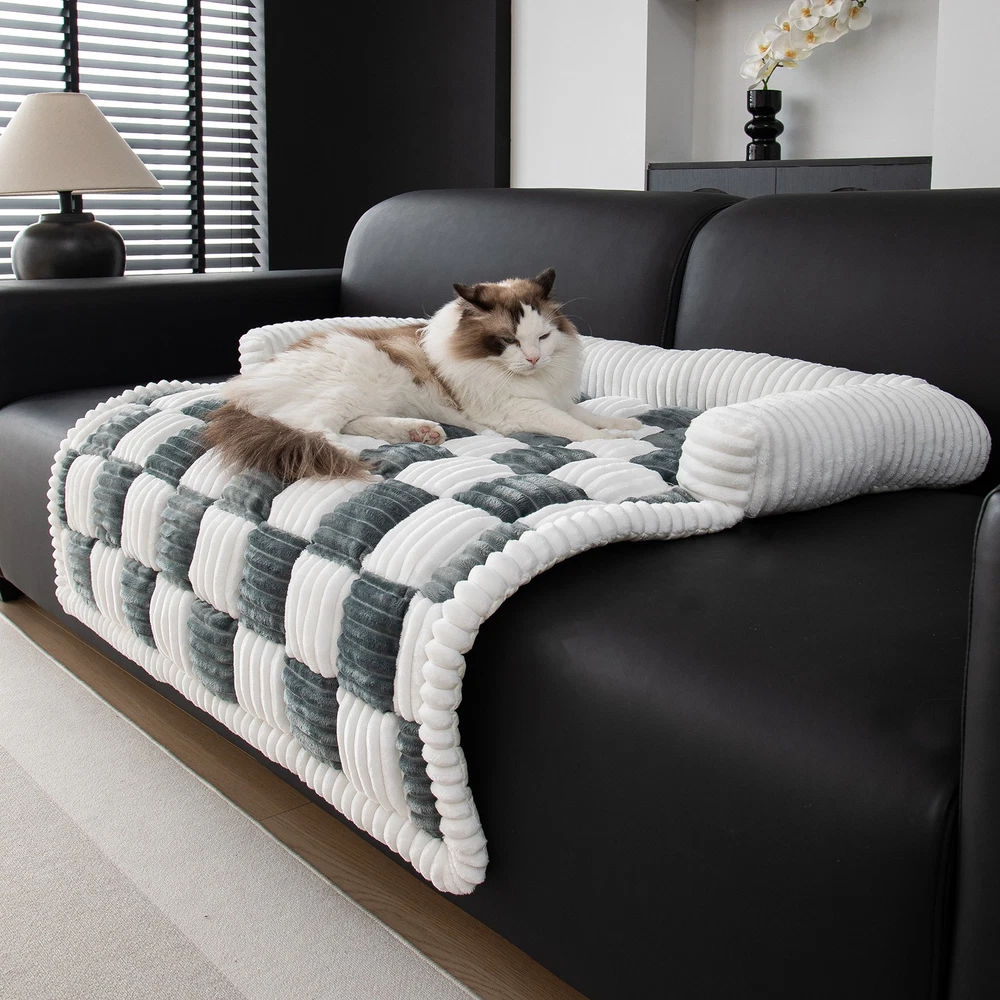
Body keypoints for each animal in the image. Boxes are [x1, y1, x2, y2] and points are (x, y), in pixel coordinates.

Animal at [203, 268, 641, 480]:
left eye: (543, 337)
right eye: (507, 341)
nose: (534, 359)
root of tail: (240, 390)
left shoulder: (553, 397)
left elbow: (587, 415)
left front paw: (628, 425)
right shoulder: (518, 409)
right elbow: (575, 427)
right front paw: (616, 439)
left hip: (370, 396)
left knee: (352, 424)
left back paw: (421, 433)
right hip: (345, 385)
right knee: (315, 430)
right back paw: (364, 456)